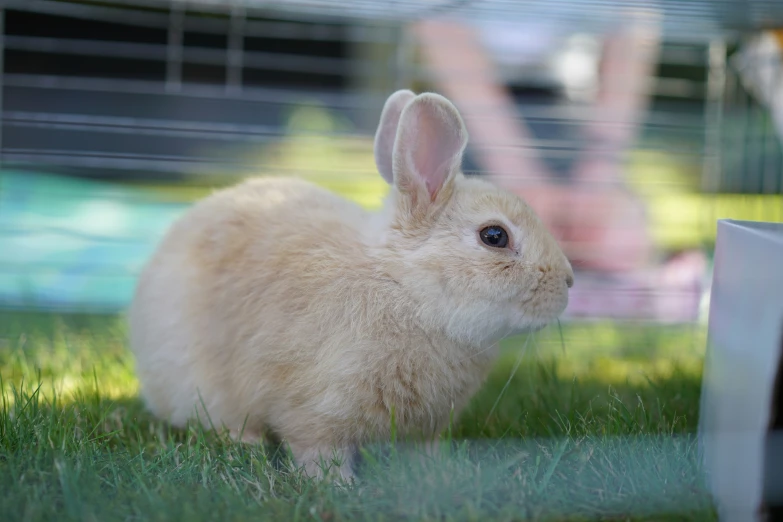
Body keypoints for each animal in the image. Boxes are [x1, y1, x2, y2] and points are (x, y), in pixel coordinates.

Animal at [127, 89, 568, 480]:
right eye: (494, 236)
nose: (567, 282)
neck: (405, 288)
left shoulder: (423, 427)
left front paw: (436, 475)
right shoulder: (316, 411)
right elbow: (318, 451)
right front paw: (337, 486)